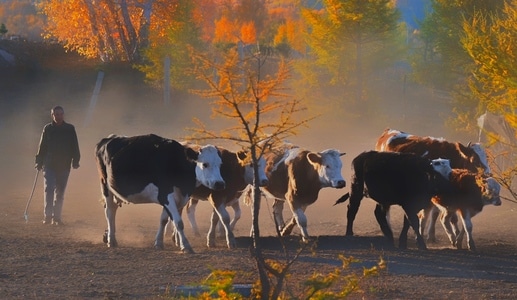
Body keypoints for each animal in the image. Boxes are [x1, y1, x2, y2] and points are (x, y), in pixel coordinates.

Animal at [94, 134, 224, 253]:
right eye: (205, 164)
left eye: (220, 164)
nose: (219, 183)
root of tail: (109, 138)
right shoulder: (166, 195)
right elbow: (178, 222)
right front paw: (186, 246)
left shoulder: (174, 198)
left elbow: (163, 220)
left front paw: (159, 243)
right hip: (105, 187)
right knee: (109, 212)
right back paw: (111, 240)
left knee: (113, 209)